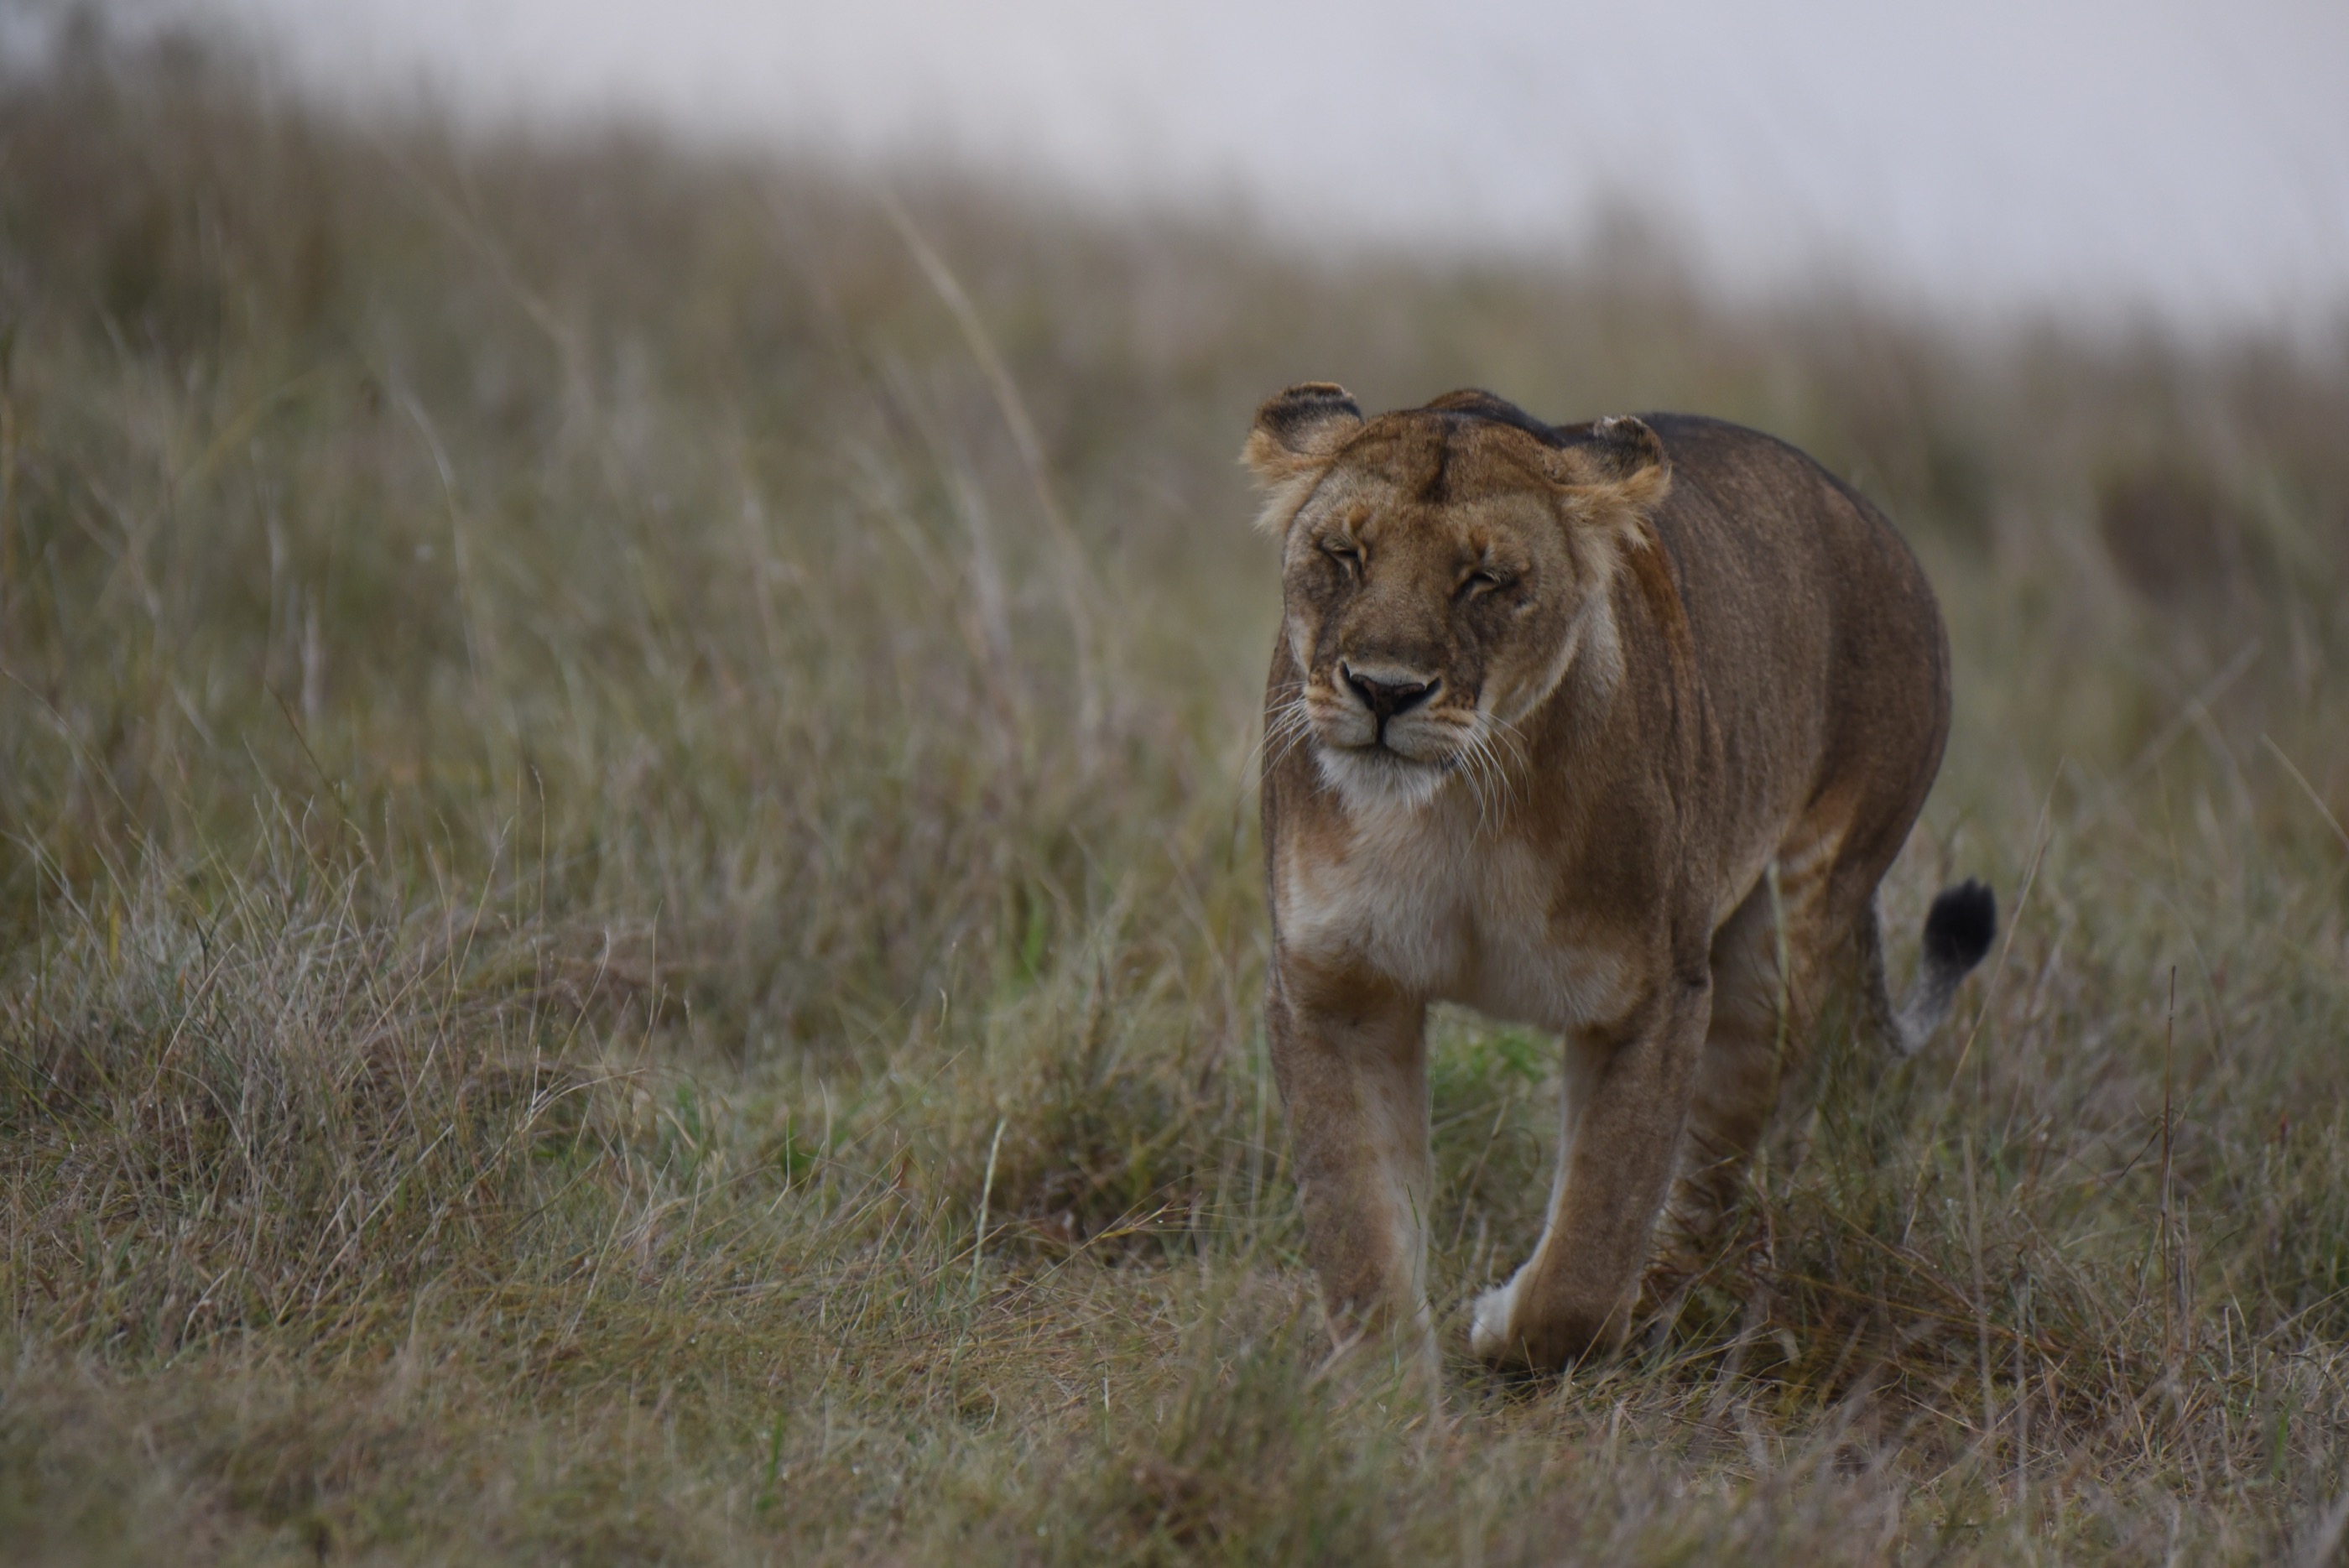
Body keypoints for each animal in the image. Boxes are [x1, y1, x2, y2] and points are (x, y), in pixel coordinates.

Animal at [1245, 384, 1995, 1381]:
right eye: (1342, 554)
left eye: (1487, 579)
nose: (1383, 690)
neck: (1453, 812)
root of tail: (1878, 525)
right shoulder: (1336, 988)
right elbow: (1358, 1223)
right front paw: (1385, 1389)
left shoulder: (1652, 999)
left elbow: (1592, 1246)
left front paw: (1506, 1328)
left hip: (1793, 933)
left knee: (1719, 1163)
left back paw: (1661, 1311)